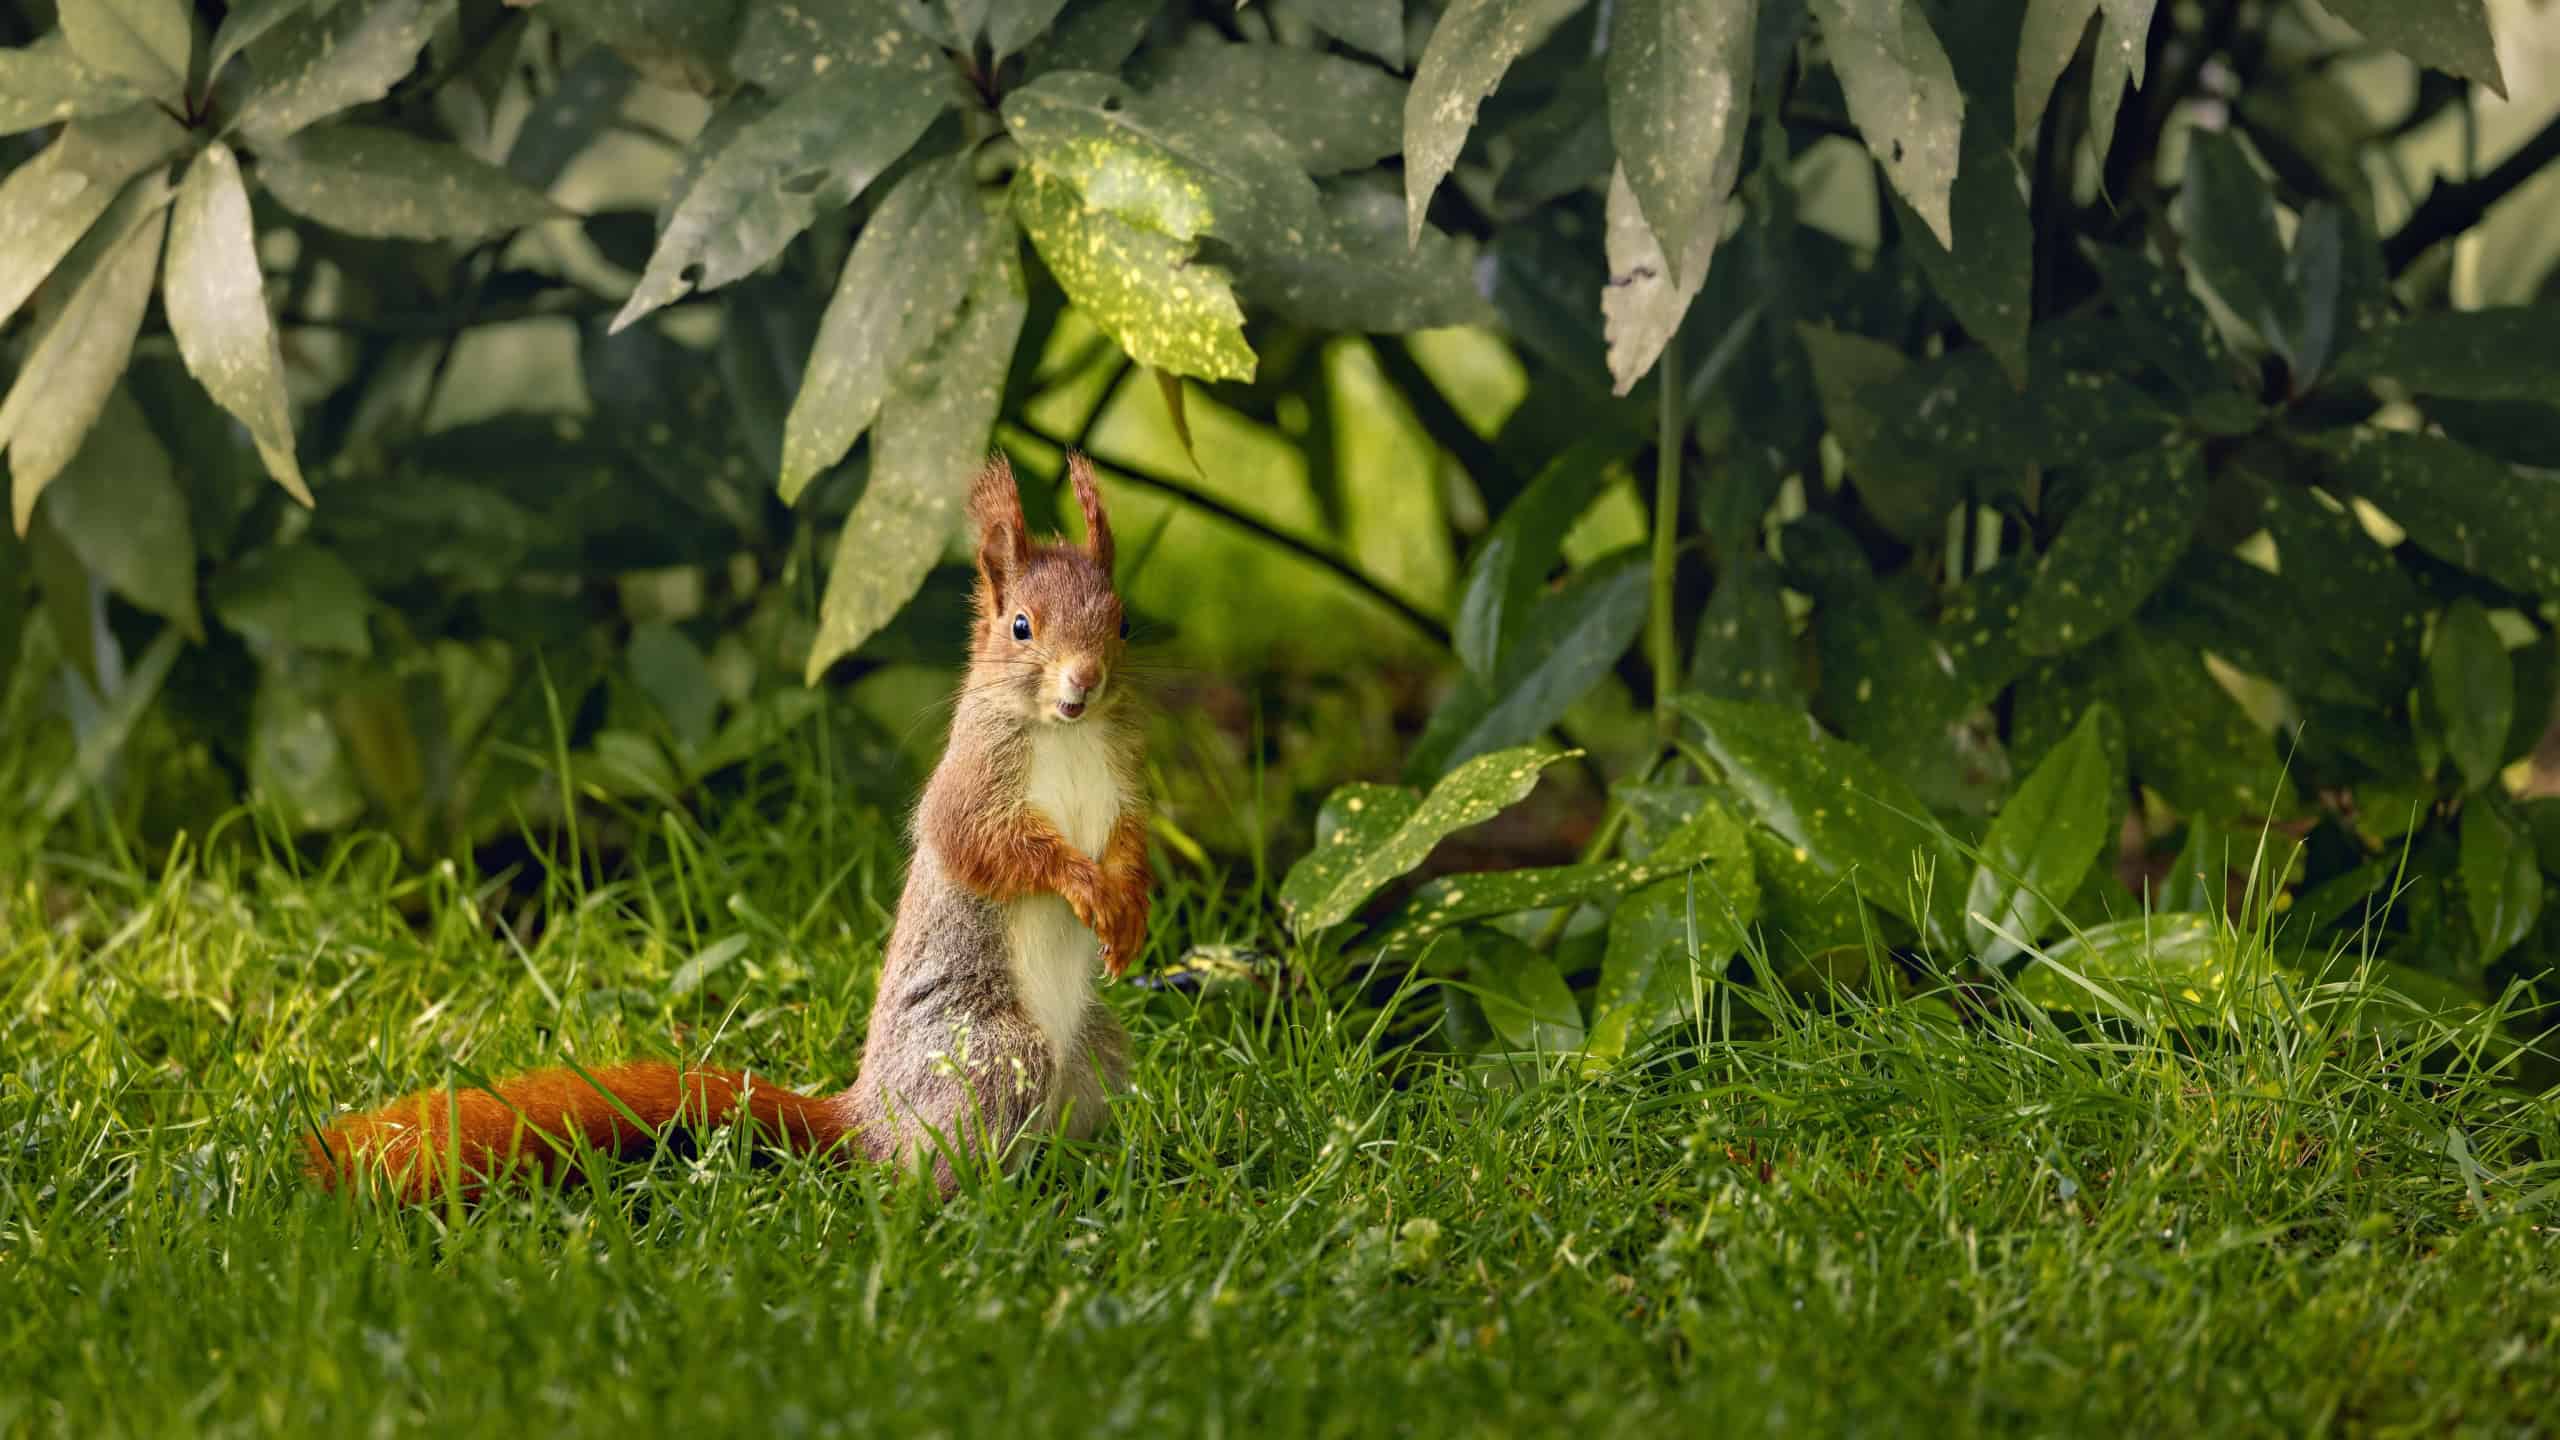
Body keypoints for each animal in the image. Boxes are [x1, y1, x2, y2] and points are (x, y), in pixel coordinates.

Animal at [301, 453, 1152, 1205]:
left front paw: (1130, 909)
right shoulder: (972, 790)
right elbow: (996, 850)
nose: (1085, 682)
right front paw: (1082, 884)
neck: (1066, 736)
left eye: (1122, 624)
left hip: (1096, 1057)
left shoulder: (1121, 789)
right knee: (920, 1174)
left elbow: (1129, 844)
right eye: (1021, 627)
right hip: (993, 1053)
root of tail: (869, 1119)